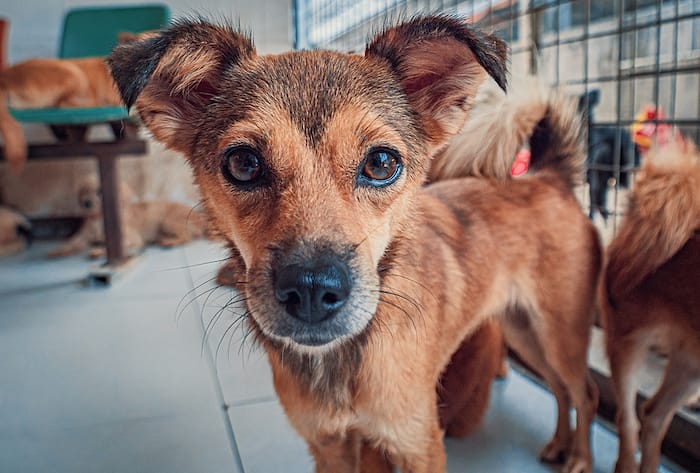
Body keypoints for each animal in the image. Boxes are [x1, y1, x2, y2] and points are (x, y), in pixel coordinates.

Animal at [109, 16, 600, 472]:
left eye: (381, 162)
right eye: (243, 163)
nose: (311, 291)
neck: (342, 363)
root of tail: (549, 176)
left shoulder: (418, 444)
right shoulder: (329, 446)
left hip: (559, 332)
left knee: (586, 392)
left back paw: (579, 457)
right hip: (525, 330)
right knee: (561, 389)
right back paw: (559, 444)